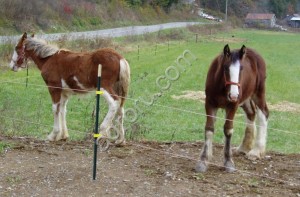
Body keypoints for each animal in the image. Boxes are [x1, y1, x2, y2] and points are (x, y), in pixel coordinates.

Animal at [197, 44, 270, 172]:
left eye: (241, 69)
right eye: (226, 68)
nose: (234, 95)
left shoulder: (232, 106)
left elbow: (228, 130)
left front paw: (228, 161)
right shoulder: (210, 104)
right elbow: (209, 129)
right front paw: (204, 160)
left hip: (258, 93)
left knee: (263, 114)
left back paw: (256, 151)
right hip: (245, 98)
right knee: (251, 113)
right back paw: (244, 147)